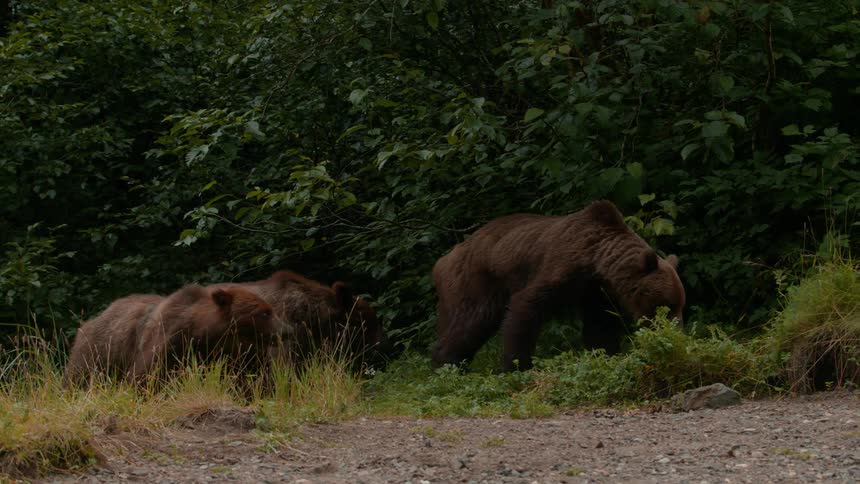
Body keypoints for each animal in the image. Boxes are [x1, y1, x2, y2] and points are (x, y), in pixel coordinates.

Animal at [431, 200, 685, 372]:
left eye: (680, 305)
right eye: (666, 305)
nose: (675, 332)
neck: (597, 262)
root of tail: (443, 260)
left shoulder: (596, 291)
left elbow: (601, 327)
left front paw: (606, 354)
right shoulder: (562, 267)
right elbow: (526, 307)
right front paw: (517, 365)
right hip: (478, 281)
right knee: (473, 321)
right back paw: (447, 364)